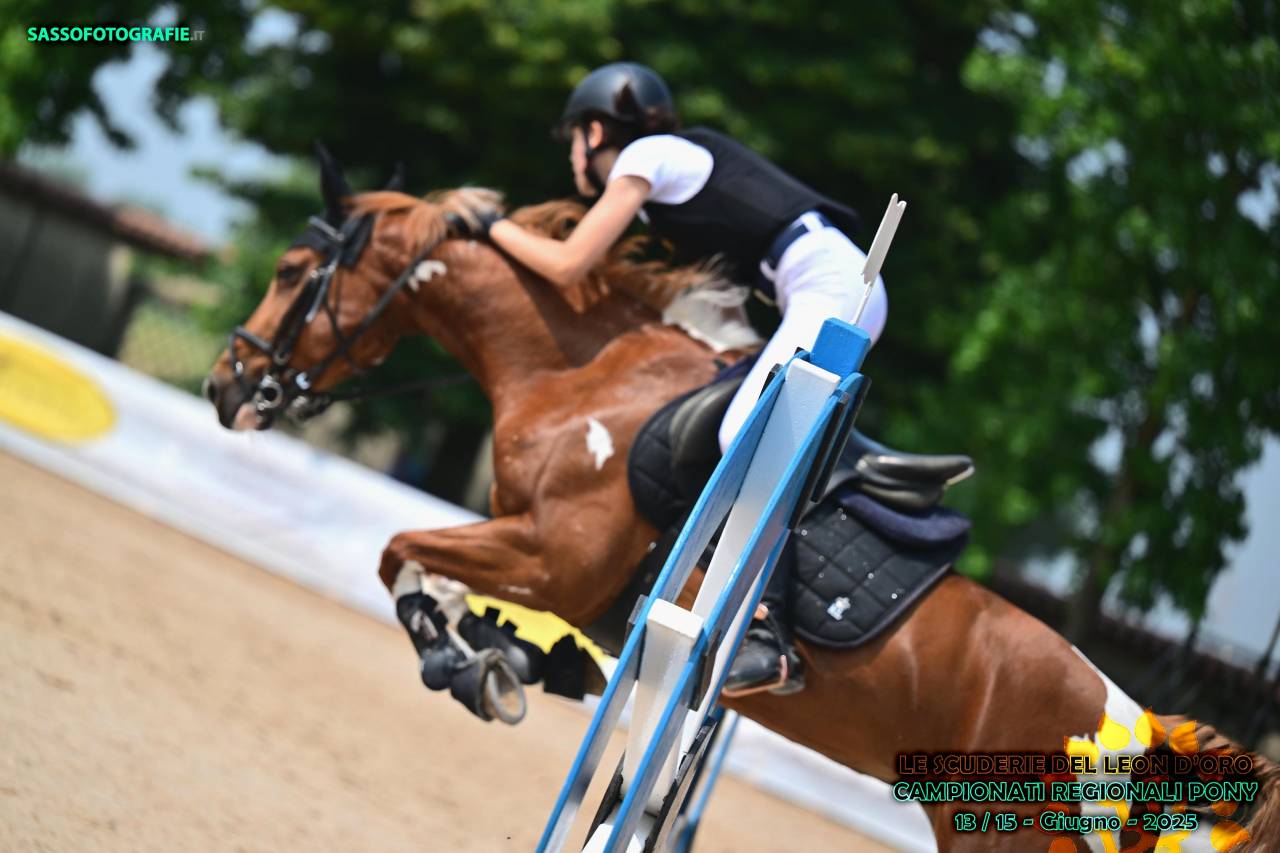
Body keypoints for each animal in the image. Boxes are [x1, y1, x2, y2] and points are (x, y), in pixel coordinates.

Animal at [203, 152, 1277, 852]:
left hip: (1005, 838)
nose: (225, 386)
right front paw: (505, 659)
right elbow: (418, 564)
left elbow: (401, 547)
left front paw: (472, 663)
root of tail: (1142, 723)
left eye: (294, 273)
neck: (575, 375)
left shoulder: (553, 555)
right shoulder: (550, 565)